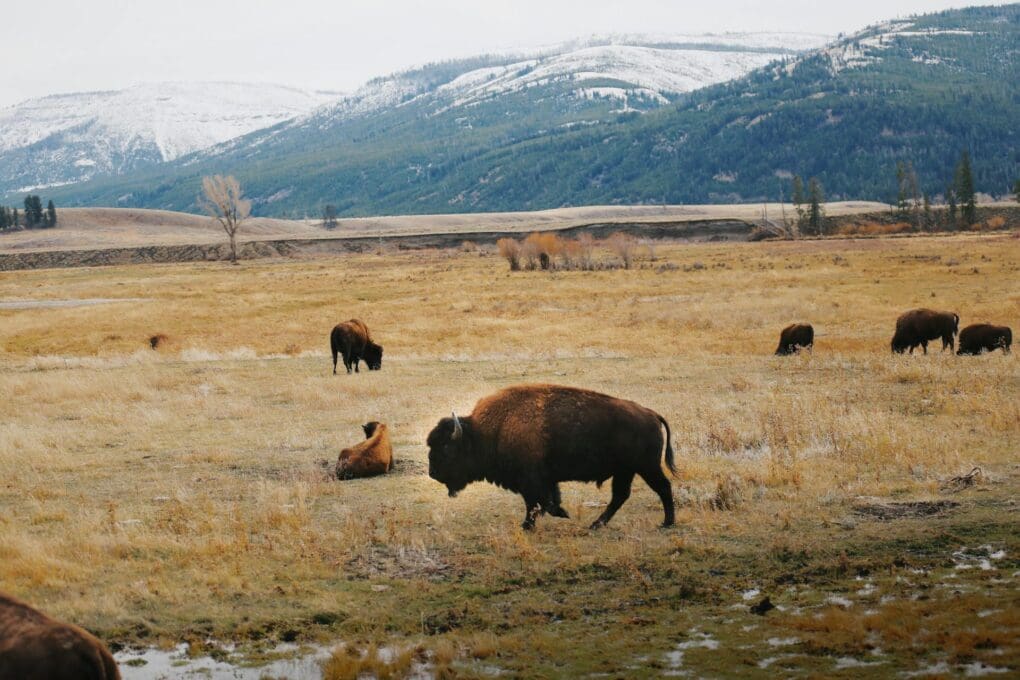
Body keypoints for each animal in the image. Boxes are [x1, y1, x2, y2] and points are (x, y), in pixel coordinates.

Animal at [426, 384, 675, 531]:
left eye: (446, 447)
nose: (433, 473)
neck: (490, 430)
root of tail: (651, 414)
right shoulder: (544, 480)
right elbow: (544, 500)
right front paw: (537, 521)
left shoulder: (530, 480)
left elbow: (537, 502)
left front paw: (542, 520)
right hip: (626, 471)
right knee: (621, 496)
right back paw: (596, 524)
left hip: (646, 467)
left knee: (662, 487)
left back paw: (667, 524)